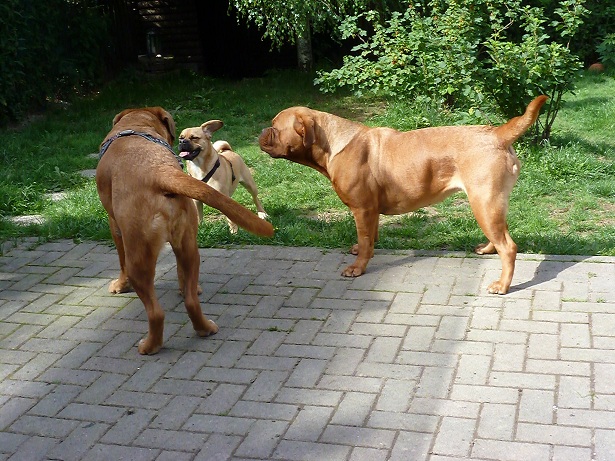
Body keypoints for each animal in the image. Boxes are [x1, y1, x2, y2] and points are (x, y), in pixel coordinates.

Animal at [96, 107, 273, 354]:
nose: (181, 141)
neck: (136, 126)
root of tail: (160, 173)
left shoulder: (115, 227)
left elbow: (120, 262)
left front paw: (120, 286)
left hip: (139, 260)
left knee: (156, 312)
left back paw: (150, 345)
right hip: (190, 248)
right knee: (191, 301)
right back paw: (205, 328)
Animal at [259, 96, 548, 294]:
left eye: (275, 127)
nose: (260, 132)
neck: (330, 143)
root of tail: (497, 133)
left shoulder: (362, 208)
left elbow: (365, 239)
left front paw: (357, 268)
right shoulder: (370, 210)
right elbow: (369, 237)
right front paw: (362, 250)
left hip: (484, 202)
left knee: (508, 247)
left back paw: (502, 285)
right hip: (490, 203)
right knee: (500, 235)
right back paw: (487, 249)